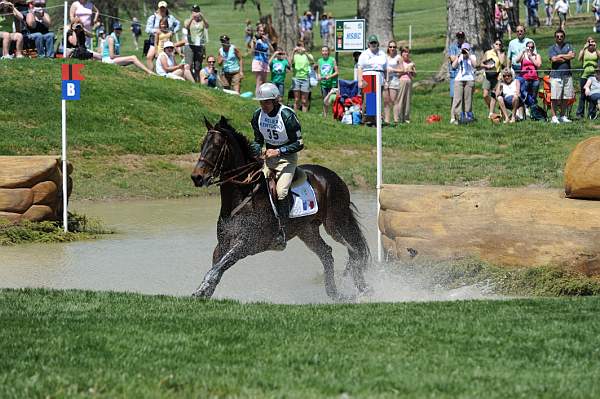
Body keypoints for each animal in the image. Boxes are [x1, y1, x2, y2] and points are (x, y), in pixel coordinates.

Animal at [192, 115, 370, 300]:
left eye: (215, 147)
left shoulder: (247, 243)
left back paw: (363, 289)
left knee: (354, 250)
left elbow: (218, 268)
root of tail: (335, 177)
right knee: (327, 254)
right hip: (307, 231)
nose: (196, 177)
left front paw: (200, 291)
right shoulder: (222, 244)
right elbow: (216, 268)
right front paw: (203, 292)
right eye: (202, 145)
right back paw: (335, 293)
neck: (243, 194)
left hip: (336, 225)